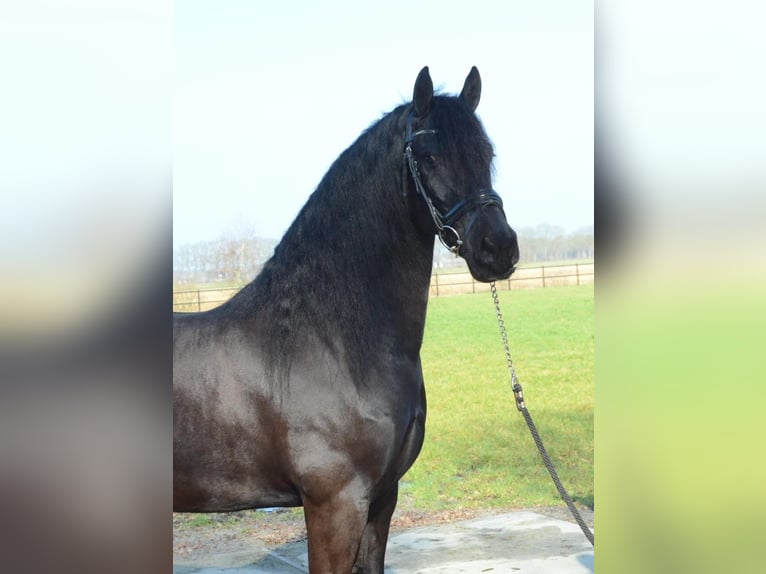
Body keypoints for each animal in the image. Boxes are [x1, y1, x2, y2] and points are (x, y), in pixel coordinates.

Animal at [173, 66, 520, 573]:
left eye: (486, 154)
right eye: (429, 156)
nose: (499, 248)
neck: (330, 343)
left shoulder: (382, 498)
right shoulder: (334, 504)